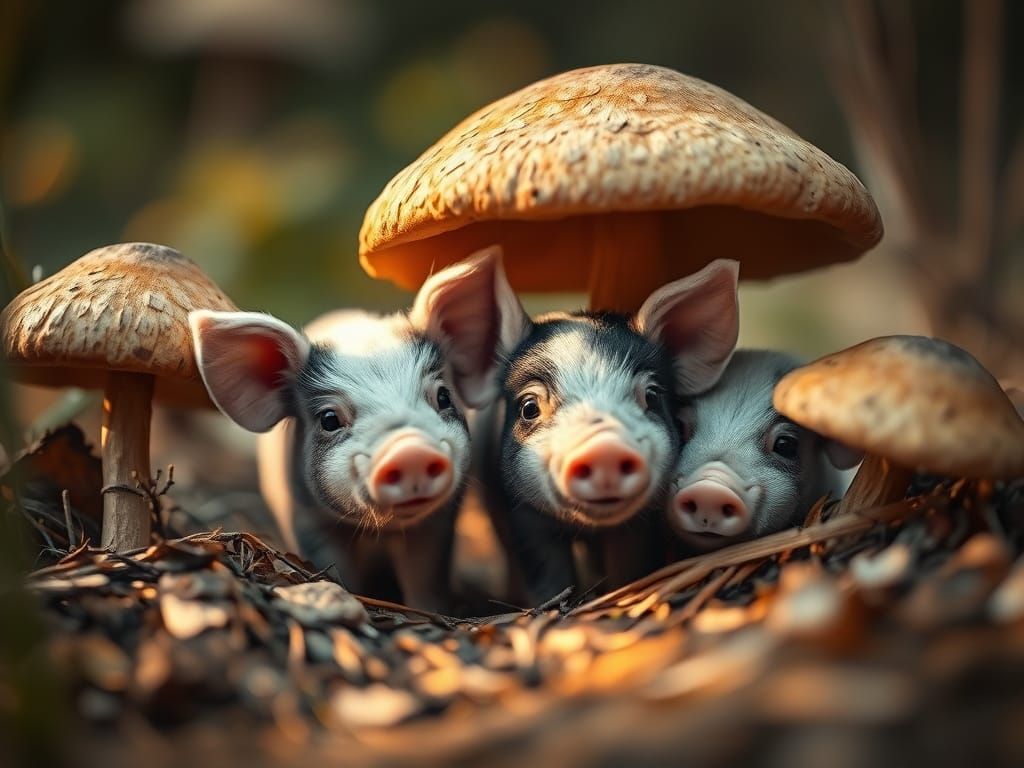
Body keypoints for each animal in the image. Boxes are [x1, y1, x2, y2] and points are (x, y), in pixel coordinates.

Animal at [189, 250, 507, 612]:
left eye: (443, 396)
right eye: (329, 419)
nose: (409, 450)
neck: (381, 531)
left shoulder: (439, 519)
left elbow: (425, 575)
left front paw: (426, 612)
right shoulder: (306, 516)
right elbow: (335, 566)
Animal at [479, 259, 741, 605]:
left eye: (651, 396)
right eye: (529, 407)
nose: (605, 447)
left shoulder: (640, 524)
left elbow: (628, 565)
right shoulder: (521, 511)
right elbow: (546, 570)